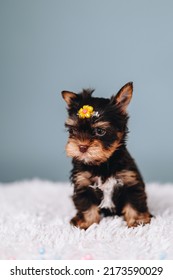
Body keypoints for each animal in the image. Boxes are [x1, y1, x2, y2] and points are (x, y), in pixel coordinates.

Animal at [61, 82, 151, 229]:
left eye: (100, 131)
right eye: (73, 130)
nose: (82, 147)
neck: (102, 163)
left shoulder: (130, 181)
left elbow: (134, 202)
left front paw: (138, 222)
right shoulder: (82, 183)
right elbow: (87, 205)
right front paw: (87, 223)